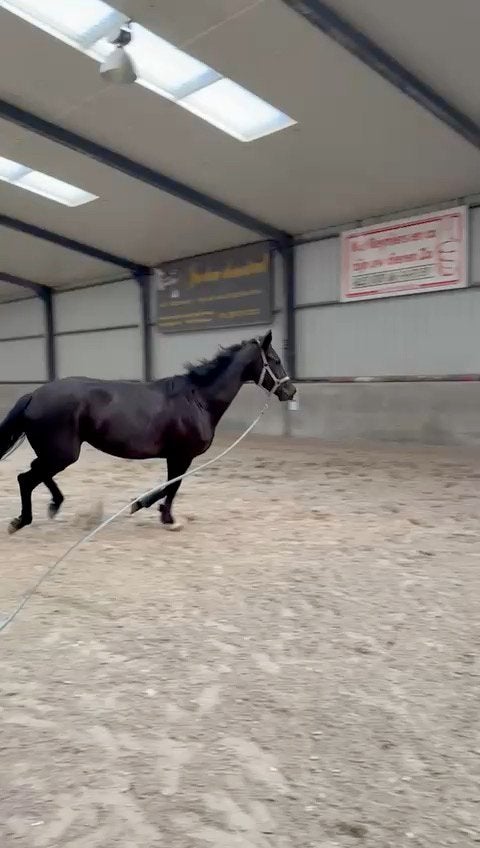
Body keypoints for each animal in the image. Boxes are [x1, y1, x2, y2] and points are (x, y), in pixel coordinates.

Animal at [0, 331, 295, 534]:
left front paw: (149, 508)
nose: (291, 391)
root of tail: (34, 395)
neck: (197, 399)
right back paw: (21, 521)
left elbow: (169, 487)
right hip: (62, 454)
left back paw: (54, 505)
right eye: (275, 360)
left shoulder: (176, 457)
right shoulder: (181, 456)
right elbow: (172, 486)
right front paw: (163, 517)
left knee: (35, 472)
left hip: (54, 453)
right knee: (26, 478)